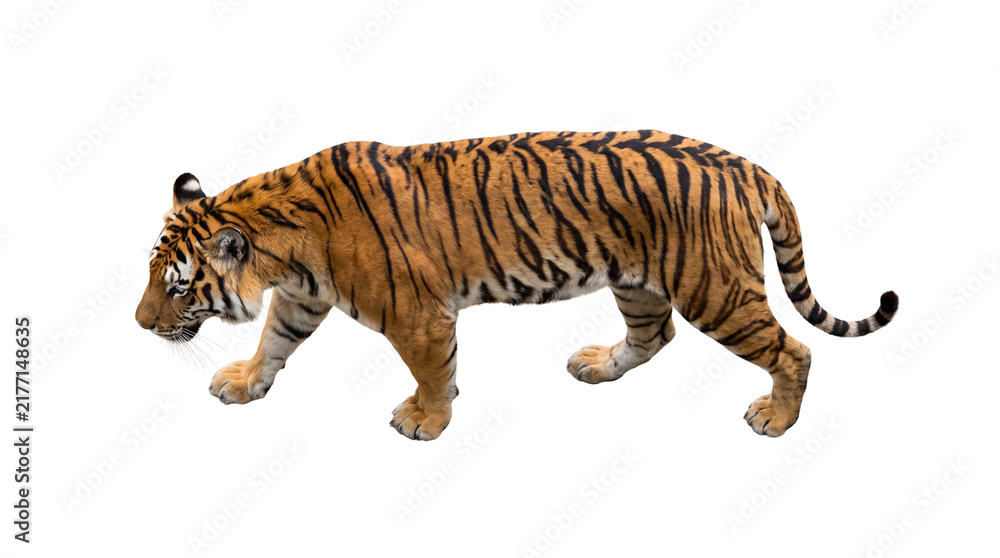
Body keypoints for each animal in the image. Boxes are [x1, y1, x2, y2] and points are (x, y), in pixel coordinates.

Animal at [135, 130, 898, 440]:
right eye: (153, 278)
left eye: (177, 288)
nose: (140, 325)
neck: (281, 243)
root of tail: (747, 166)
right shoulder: (301, 297)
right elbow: (274, 342)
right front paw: (244, 383)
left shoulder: (419, 317)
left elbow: (434, 372)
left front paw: (425, 422)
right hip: (639, 281)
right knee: (653, 335)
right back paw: (598, 366)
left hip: (716, 289)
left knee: (794, 350)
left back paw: (776, 419)